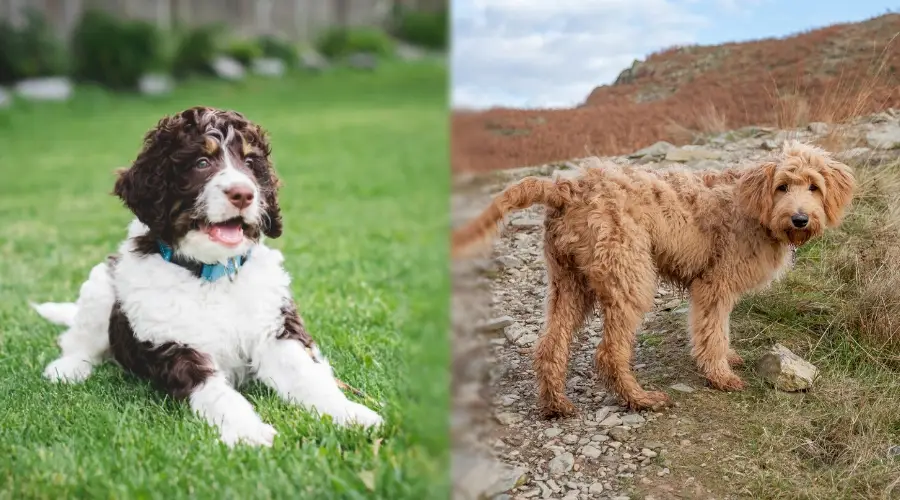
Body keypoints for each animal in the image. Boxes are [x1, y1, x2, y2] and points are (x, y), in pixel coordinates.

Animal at [454, 141, 856, 418]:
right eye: (783, 186)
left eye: (814, 186)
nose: (800, 219)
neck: (753, 206)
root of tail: (568, 187)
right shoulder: (714, 285)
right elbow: (713, 331)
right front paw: (720, 374)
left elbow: (719, 329)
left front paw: (727, 358)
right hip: (629, 276)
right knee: (609, 352)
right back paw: (640, 399)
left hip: (568, 282)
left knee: (551, 345)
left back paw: (556, 404)